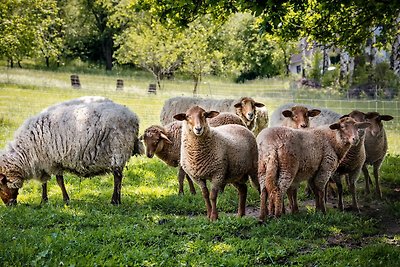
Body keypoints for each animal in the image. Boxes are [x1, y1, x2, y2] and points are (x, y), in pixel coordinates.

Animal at [0, 97, 141, 206]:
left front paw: (65, 200)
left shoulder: (52, 161)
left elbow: (59, 181)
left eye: (0, 186)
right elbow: (45, 182)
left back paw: (115, 201)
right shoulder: (45, 163)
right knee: (119, 177)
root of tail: (133, 116)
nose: (9, 205)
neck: (25, 151)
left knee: (117, 178)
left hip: (118, 151)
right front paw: (44, 200)